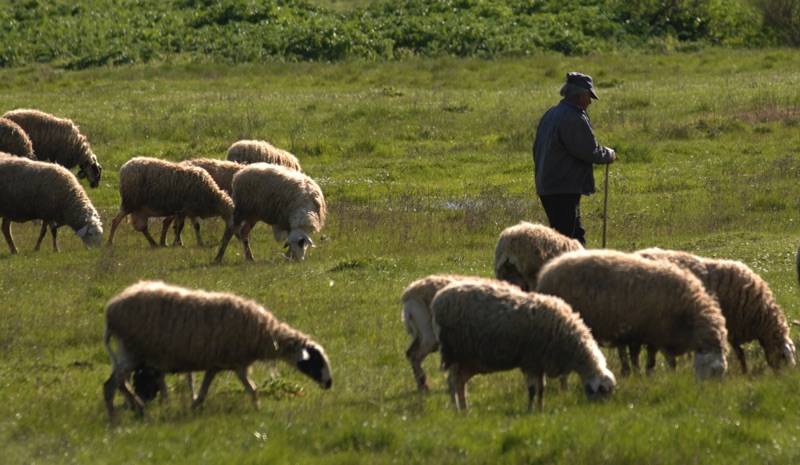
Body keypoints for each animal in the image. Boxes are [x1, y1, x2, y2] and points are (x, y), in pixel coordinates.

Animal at [101, 280, 332, 418]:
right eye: (315, 361)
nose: (329, 383)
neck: (264, 334)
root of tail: (111, 309)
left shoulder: (221, 364)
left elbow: (210, 391)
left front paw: (194, 407)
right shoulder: (233, 362)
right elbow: (251, 388)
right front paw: (258, 409)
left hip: (131, 353)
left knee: (119, 382)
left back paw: (135, 408)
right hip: (134, 351)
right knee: (112, 384)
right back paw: (118, 416)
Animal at [105, 156, 234, 248]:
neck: (210, 195)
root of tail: (124, 167)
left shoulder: (189, 210)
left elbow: (195, 227)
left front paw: (199, 243)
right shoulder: (183, 209)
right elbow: (180, 227)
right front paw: (177, 243)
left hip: (139, 208)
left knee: (142, 227)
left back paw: (154, 243)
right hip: (129, 202)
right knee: (116, 221)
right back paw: (110, 242)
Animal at [432, 278, 612, 412]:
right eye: (603, 391)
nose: (601, 410)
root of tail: (439, 297)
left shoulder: (540, 362)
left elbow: (541, 389)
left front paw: (540, 409)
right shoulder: (530, 361)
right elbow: (532, 390)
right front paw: (530, 411)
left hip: (469, 360)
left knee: (460, 382)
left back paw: (465, 409)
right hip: (454, 352)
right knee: (452, 382)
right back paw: (457, 410)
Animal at [536, 248, 728, 378]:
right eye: (714, 371)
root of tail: (547, 272)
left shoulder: (648, 332)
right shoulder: (649, 332)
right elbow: (647, 359)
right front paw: (643, 374)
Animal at [636, 246, 796, 374]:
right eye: (783, 356)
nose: (785, 376)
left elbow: (740, 352)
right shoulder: (731, 326)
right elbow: (740, 353)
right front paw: (745, 372)